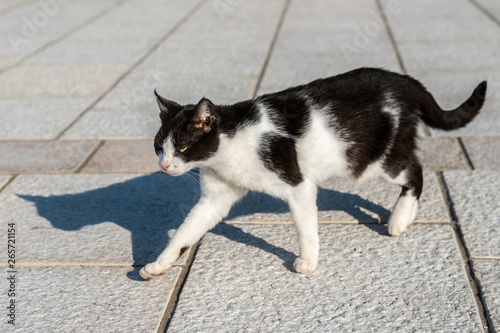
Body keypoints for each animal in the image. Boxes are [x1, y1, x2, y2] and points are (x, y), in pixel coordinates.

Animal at [139, 67, 486, 278]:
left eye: (183, 147)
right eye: (158, 147)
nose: (164, 166)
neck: (228, 145)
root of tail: (403, 80)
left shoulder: (298, 184)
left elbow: (305, 227)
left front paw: (308, 261)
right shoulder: (216, 197)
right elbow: (186, 231)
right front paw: (158, 264)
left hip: (377, 159)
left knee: (415, 172)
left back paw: (399, 219)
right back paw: (407, 217)